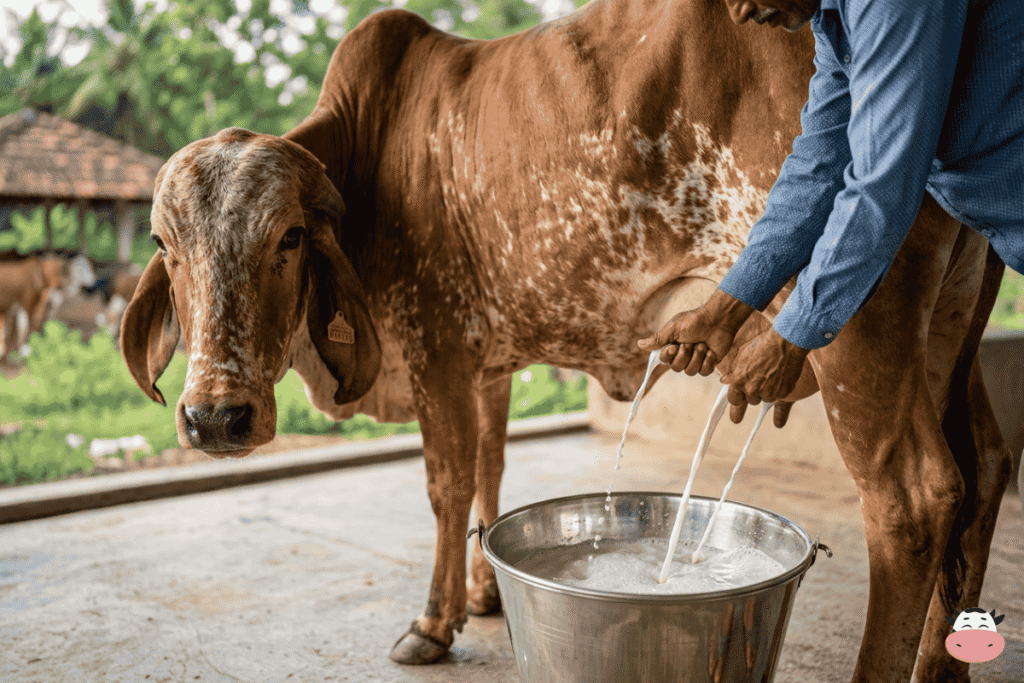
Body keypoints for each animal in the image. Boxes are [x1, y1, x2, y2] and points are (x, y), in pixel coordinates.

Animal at [120, 0, 1013, 679]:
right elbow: (490, 467)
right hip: (946, 334)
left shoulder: (437, 347)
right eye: (165, 242)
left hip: (858, 323)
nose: (215, 418)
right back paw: (945, 666)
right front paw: (484, 591)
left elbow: (446, 485)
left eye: (290, 237)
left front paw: (434, 621)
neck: (371, 149)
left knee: (914, 498)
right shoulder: (488, 364)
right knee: (984, 472)